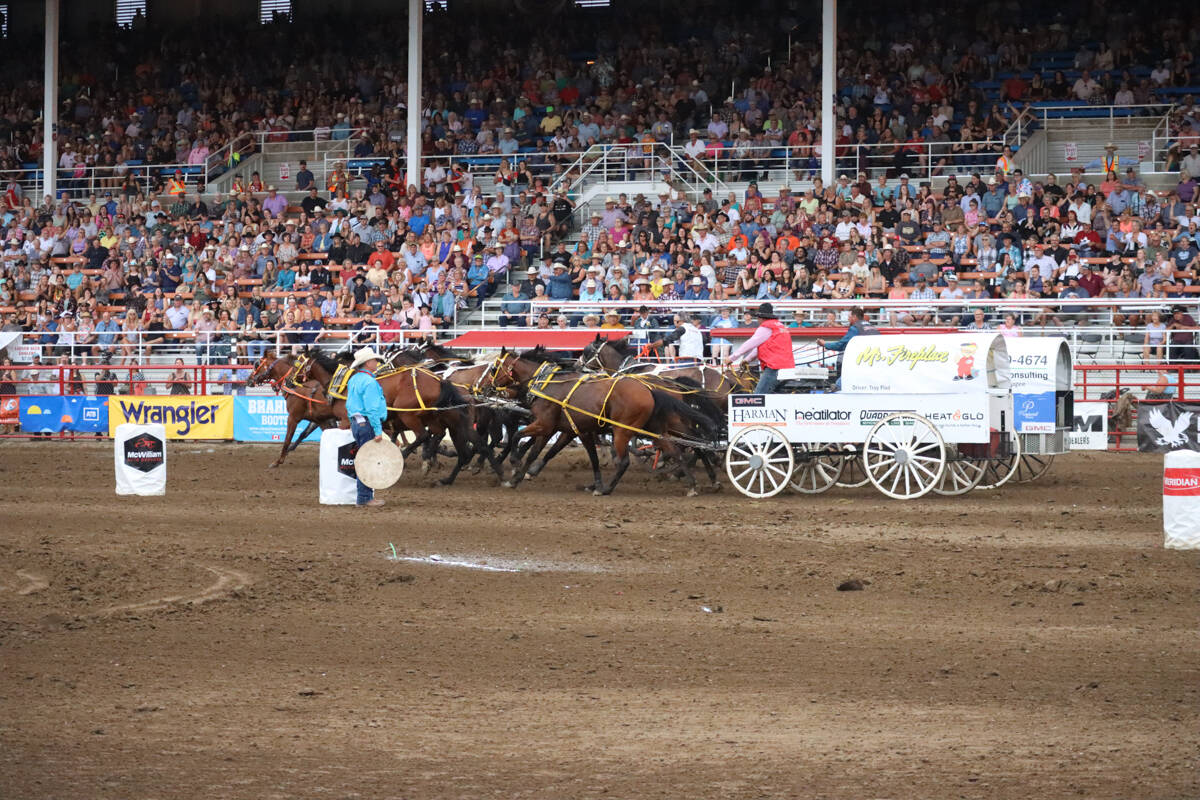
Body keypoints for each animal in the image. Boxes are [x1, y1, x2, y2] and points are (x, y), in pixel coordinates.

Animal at [489, 347, 715, 496]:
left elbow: (519, 438)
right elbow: (542, 453)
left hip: (622, 431)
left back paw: (608, 489)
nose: (489, 388)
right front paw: (519, 477)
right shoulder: (569, 429)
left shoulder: (544, 425)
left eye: (494, 368)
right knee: (677, 450)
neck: (546, 384)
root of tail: (650, 389)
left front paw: (515, 463)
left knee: (625, 461)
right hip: (656, 429)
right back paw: (693, 484)